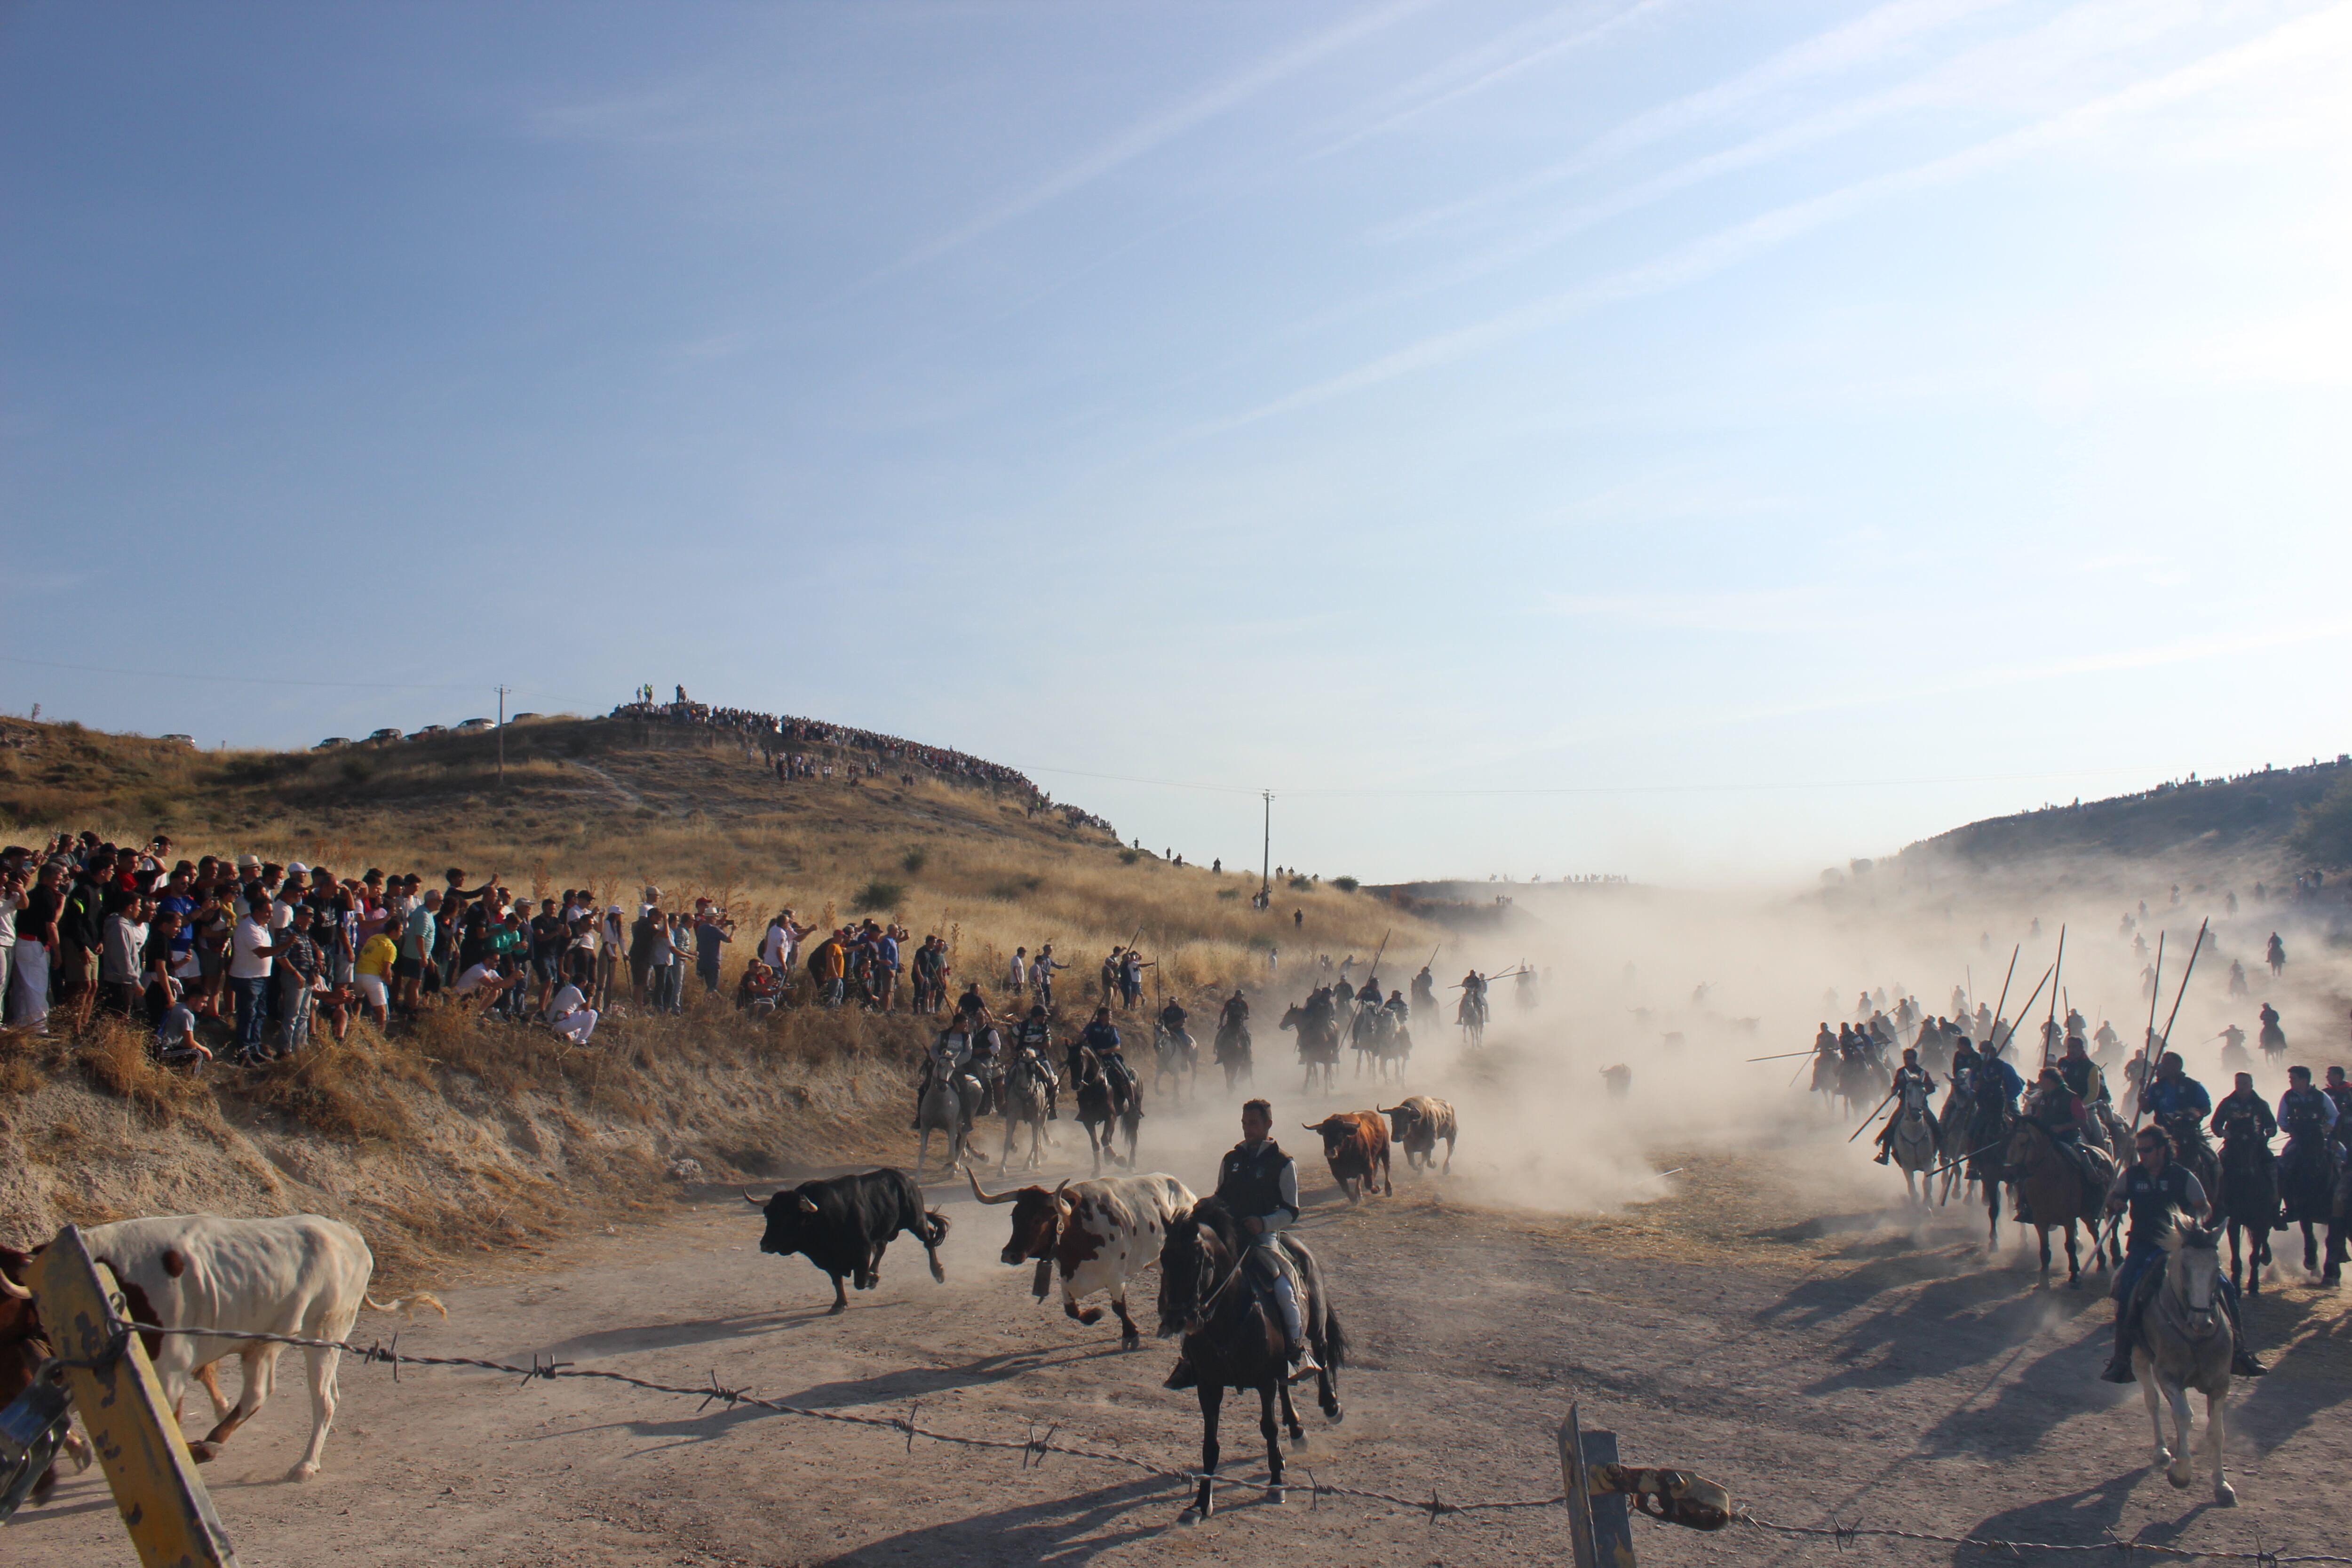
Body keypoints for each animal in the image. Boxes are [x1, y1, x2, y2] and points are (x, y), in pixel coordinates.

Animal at [3, 1213, 445, 1486]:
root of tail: (347, 1232)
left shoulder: (171, 1364)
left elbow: (168, 1419)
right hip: (264, 1340)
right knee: (259, 1393)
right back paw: (211, 1444)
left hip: (323, 1331)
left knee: (324, 1399)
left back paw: (303, 1464)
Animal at [743, 1166, 946, 1316]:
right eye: (768, 1215)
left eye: (788, 1217)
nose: (765, 1245)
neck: (822, 1218)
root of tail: (906, 1179)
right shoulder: (829, 1261)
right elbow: (837, 1281)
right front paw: (839, 1304)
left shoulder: (862, 1250)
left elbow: (859, 1281)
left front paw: (872, 1279)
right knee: (882, 1248)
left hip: (916, 1220)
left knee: (929, 1240)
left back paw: (938, 1273)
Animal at [969, 1166, 1195, 1354]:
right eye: (1014, 1217)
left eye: (1037, 1220)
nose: (1009, 1254)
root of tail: (1185, 1191)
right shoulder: (1066, 1276)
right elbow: (1072, 1311)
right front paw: (1094, 1314)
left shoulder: (1115, 1276)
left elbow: (1119, 1307)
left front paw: (1130, 1335)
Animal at [1308, 1114, 1392, 1203]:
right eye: (1324, 1134)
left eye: (1341, 1134)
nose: (1330, 1152)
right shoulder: (1337, 1172)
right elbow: (1345, 1188)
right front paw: (1354, 1199)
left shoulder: (1367, 1165)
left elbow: (1369, 1184)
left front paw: (1377, 1189)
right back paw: (1358, 1193)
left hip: (1385, 1149)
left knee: (1387, 1168)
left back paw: (1388, 1190)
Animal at [1374, 1100, 1449, 1170]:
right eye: (1392, 1120)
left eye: (1406, 1122)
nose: (1395, 1138)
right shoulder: (1407, 1146)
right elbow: (1411, 1161)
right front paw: (1419, 1167)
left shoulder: (1430, 1143)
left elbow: (1427, 1156)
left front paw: (1432, 1164)